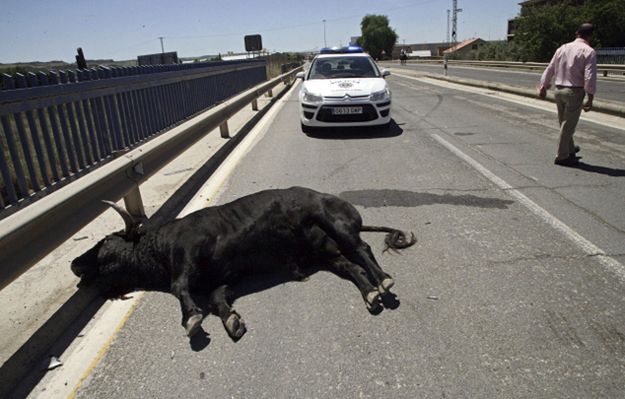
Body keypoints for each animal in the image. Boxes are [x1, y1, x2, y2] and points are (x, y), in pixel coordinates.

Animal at [70, 188, 414, 340]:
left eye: (104, 242)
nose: (75, 264)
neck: (161, 244)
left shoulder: (189, 252)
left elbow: (178, 286)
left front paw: (191, 318)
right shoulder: (224, 280)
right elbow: (216, 299)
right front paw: (231, 319)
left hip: (333, 222)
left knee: (362, 248)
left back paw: (384, 281)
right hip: (326, 253)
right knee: (352, 267)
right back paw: (370, 293)